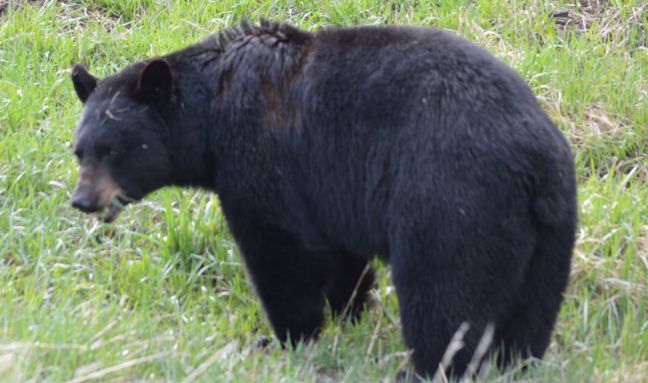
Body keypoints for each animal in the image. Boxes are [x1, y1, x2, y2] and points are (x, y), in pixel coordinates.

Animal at [71, 21, 576, 380]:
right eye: (79, 150)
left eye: (112, 150)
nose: (82, 200)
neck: (212, 111)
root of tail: (532, 161)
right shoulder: (331, 191)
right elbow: (341, 257)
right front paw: (348, 315)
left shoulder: (260, 155)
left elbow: (283, 250)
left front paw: (282, 340)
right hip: (548, 231)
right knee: (530, 311)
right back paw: (517, 364)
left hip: (452, 204)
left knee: (446, 298)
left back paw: (421, 370)